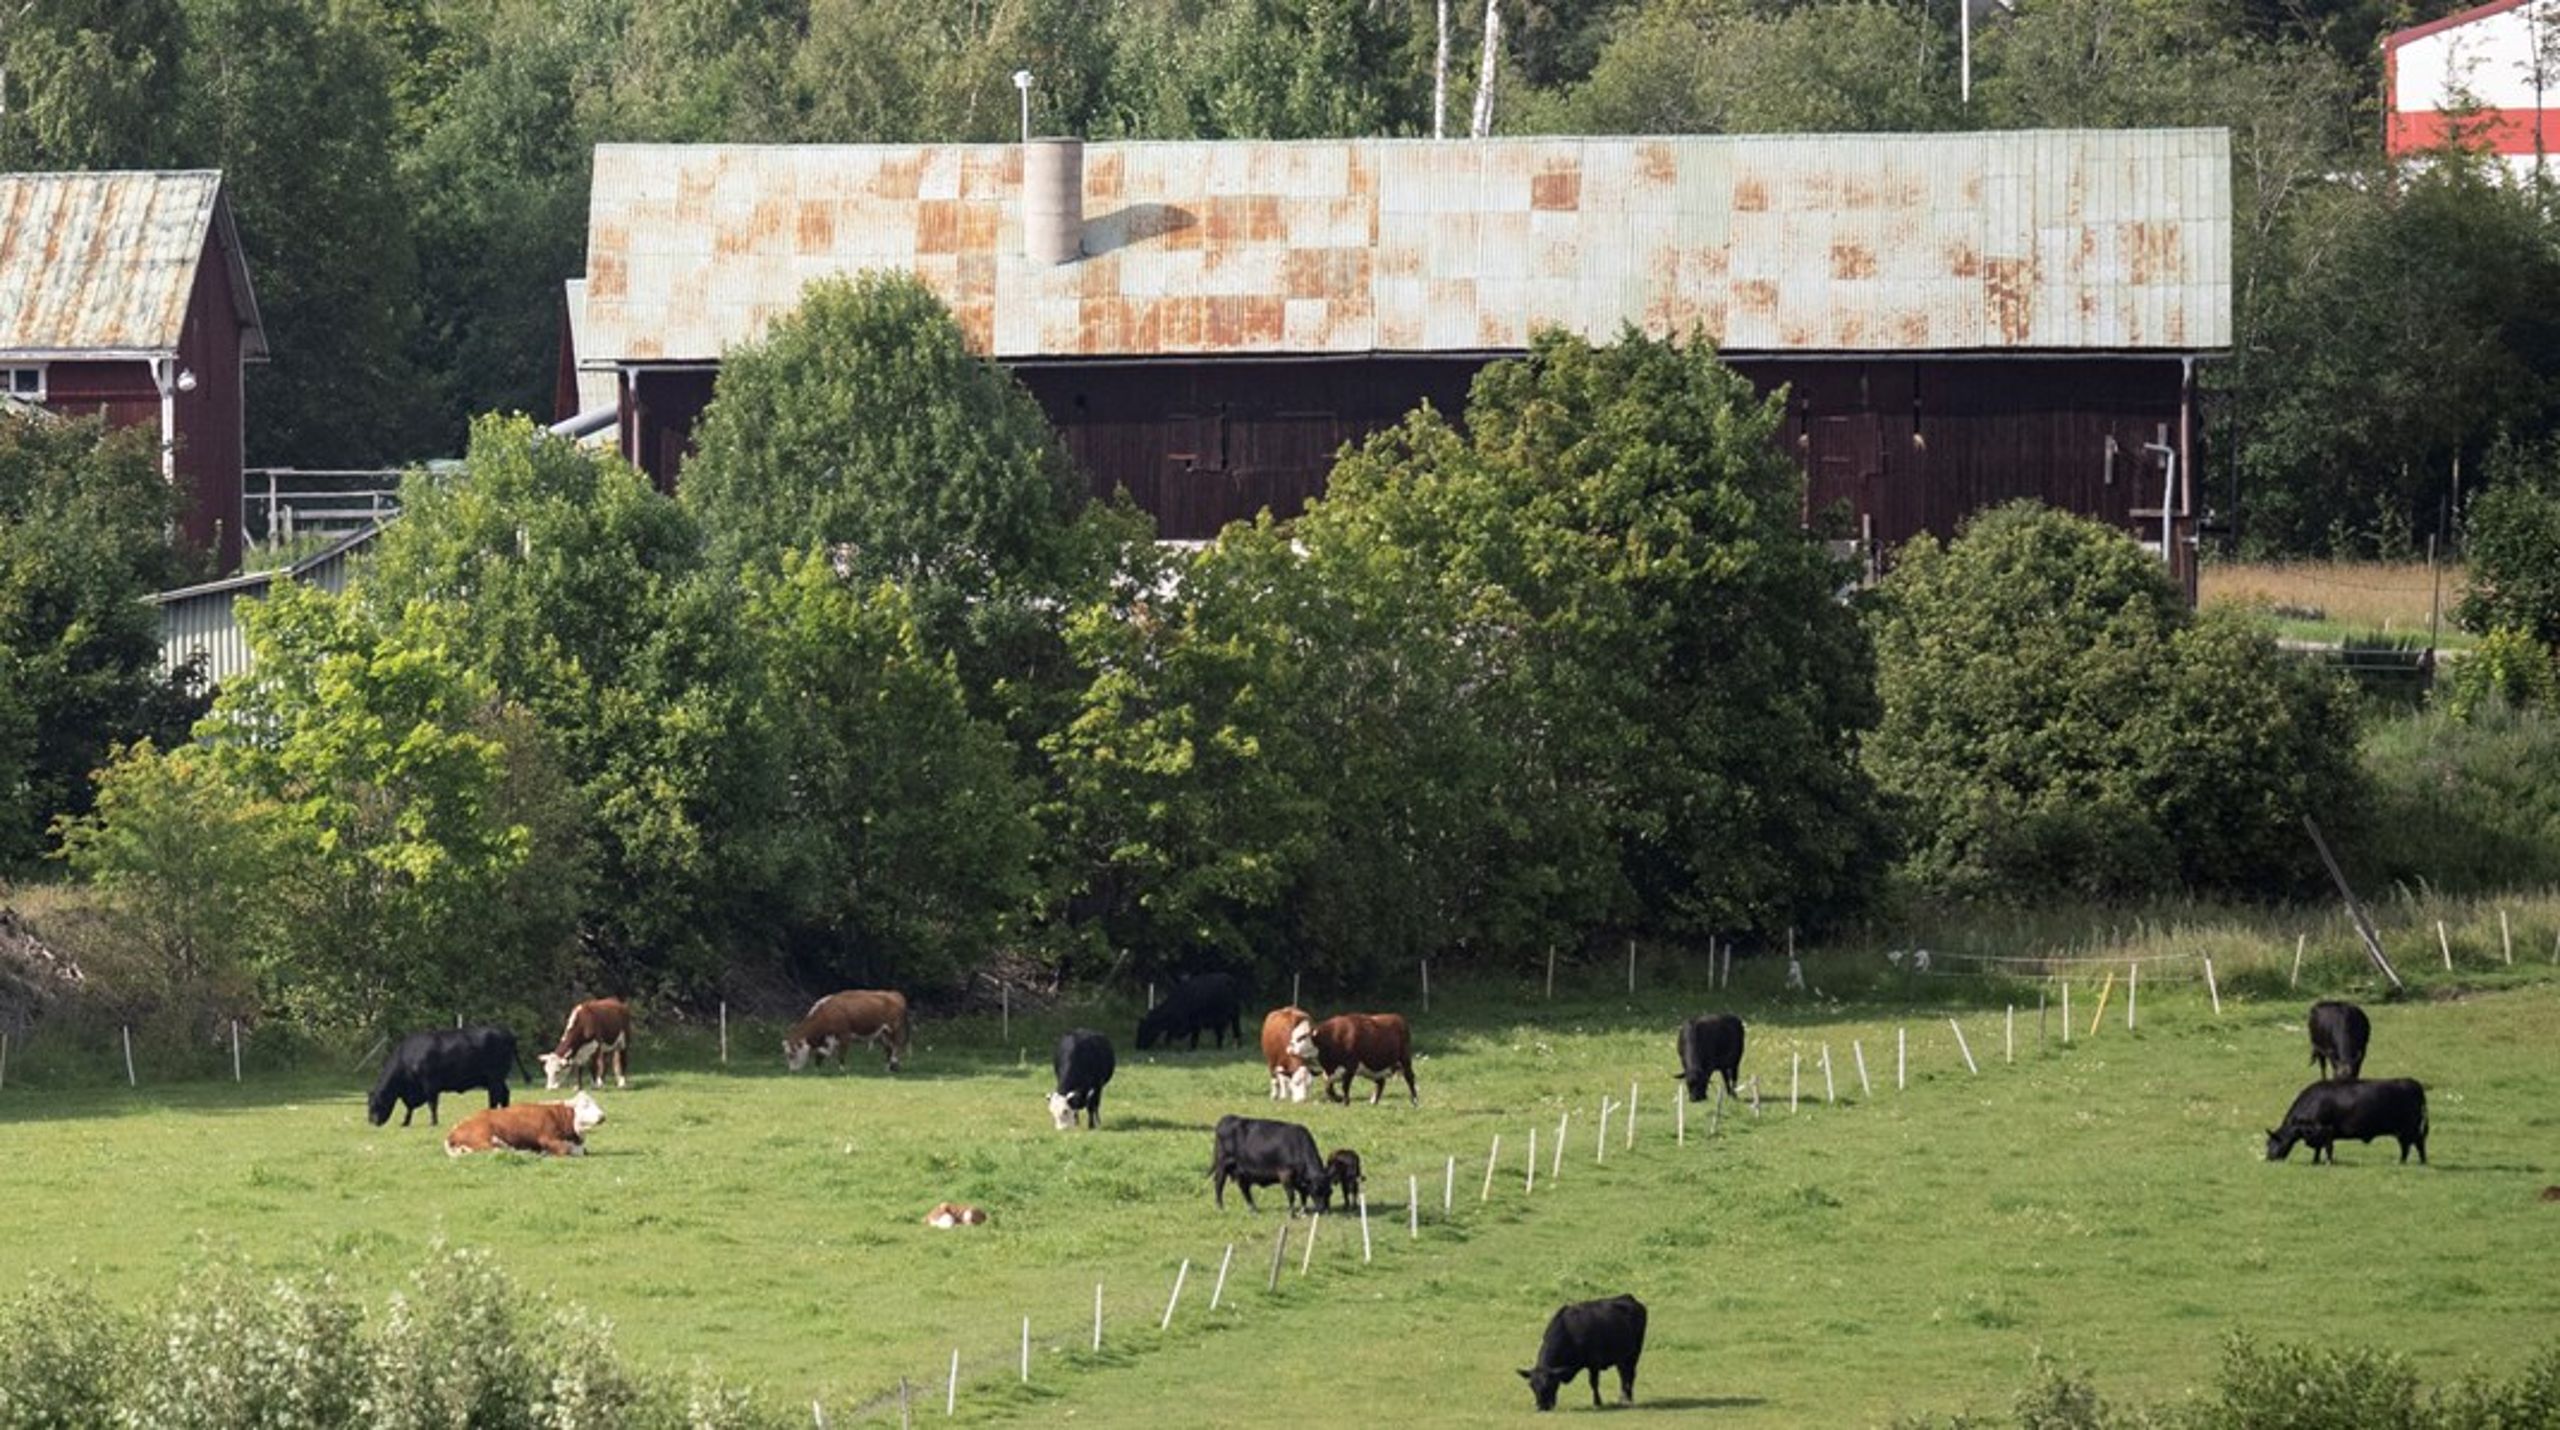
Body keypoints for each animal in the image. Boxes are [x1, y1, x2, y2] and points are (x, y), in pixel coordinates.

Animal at [366, 1028, 519, 1130]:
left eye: (375, 1104)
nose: (371, 1122)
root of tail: (506, 1033)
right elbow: (409, 1107)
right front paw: (405, 1122)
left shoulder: (429, 1085)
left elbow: (432, 1104)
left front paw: (433, 1123)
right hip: (498, 1079)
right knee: (504, 1094)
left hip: (494, 1078)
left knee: (494, 1097)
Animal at [783, 997, 916, 1074]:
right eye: (787, 1054)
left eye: (792, 1054)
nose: (792, 1071)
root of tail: (895, 994)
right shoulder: (828, 1039)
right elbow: (821, 1053)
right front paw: (817, 1070)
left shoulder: (844, 1035)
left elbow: (841, 1054)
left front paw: (842, 1070)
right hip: (884, 1034)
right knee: (889, 1049)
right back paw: (887, 1068)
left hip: (894, 1029)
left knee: (896, 1046)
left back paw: (894, 1064)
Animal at [1505, 1294, 1648, 1412]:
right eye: (1531, 1386)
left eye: (1550, 1384)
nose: (1542, 1407)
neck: (1570, 1331)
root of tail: (1629, 1298)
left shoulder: (1594, 1363)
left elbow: (1593, 1383)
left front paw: (1597, 1403)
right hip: (1622, 1357)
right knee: (1623, 1375)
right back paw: (1622, 1398)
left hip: (1635, 1352)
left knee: (1630, 1375)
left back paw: (1628, 1400)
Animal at [2273, 1084, 2426, 1166]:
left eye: (2272, 1142)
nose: (2269, 1158)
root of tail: (2415, 1084)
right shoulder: (2319, 1135)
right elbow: (2318, 1148)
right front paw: (2315, 1161)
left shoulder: (2326, 1130)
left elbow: (2327, 1148)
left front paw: (2328, 1162)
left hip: (2407, 1130)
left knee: (2411, 1145)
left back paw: (2404, 1162)